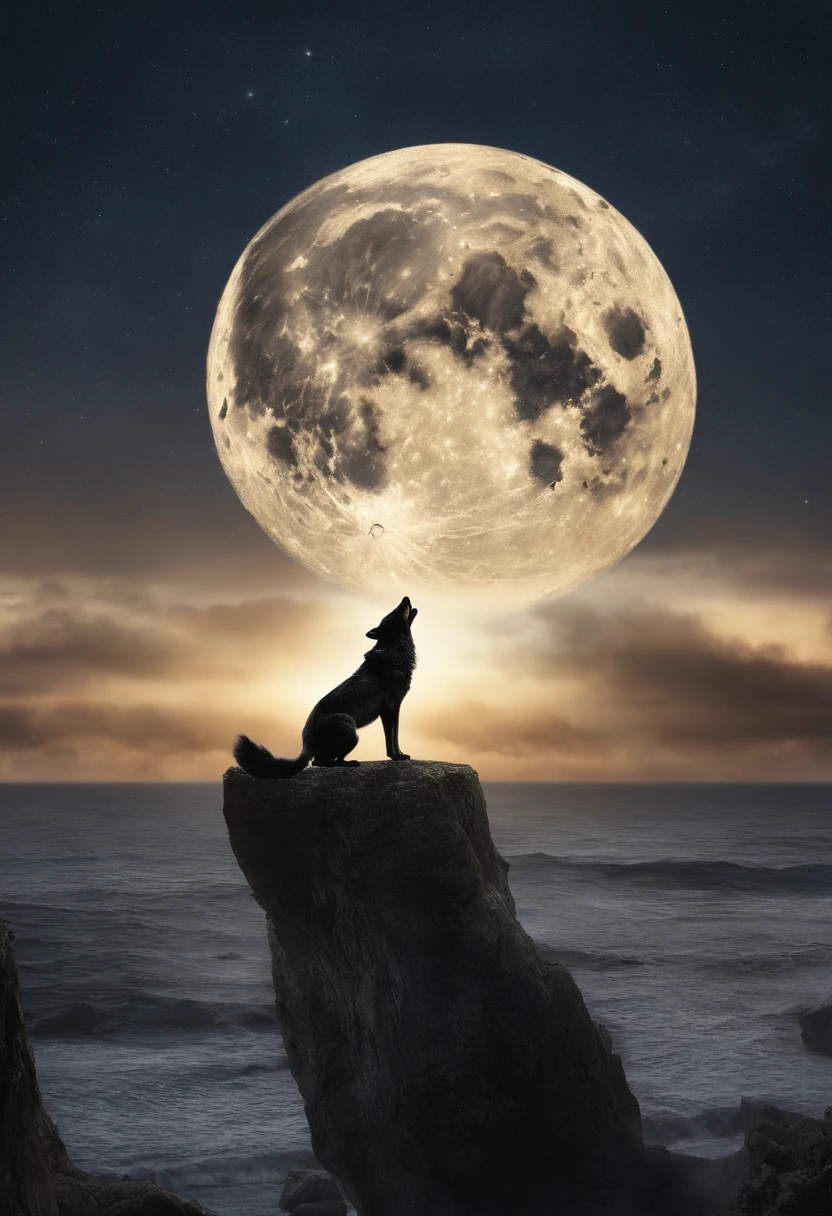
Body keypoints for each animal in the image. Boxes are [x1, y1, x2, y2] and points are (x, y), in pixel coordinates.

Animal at [232, 596, 418, 779]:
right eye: (394, 613)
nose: (405, 598)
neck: (395, 650)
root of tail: (306, 740)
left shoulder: (388, 711)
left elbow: (391, 739)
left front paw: (397, 756)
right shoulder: (391, 708)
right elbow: (393, 738)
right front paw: (398, 757)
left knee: (318, 762)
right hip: (350, 728)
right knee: (320, 762)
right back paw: (347, 763)